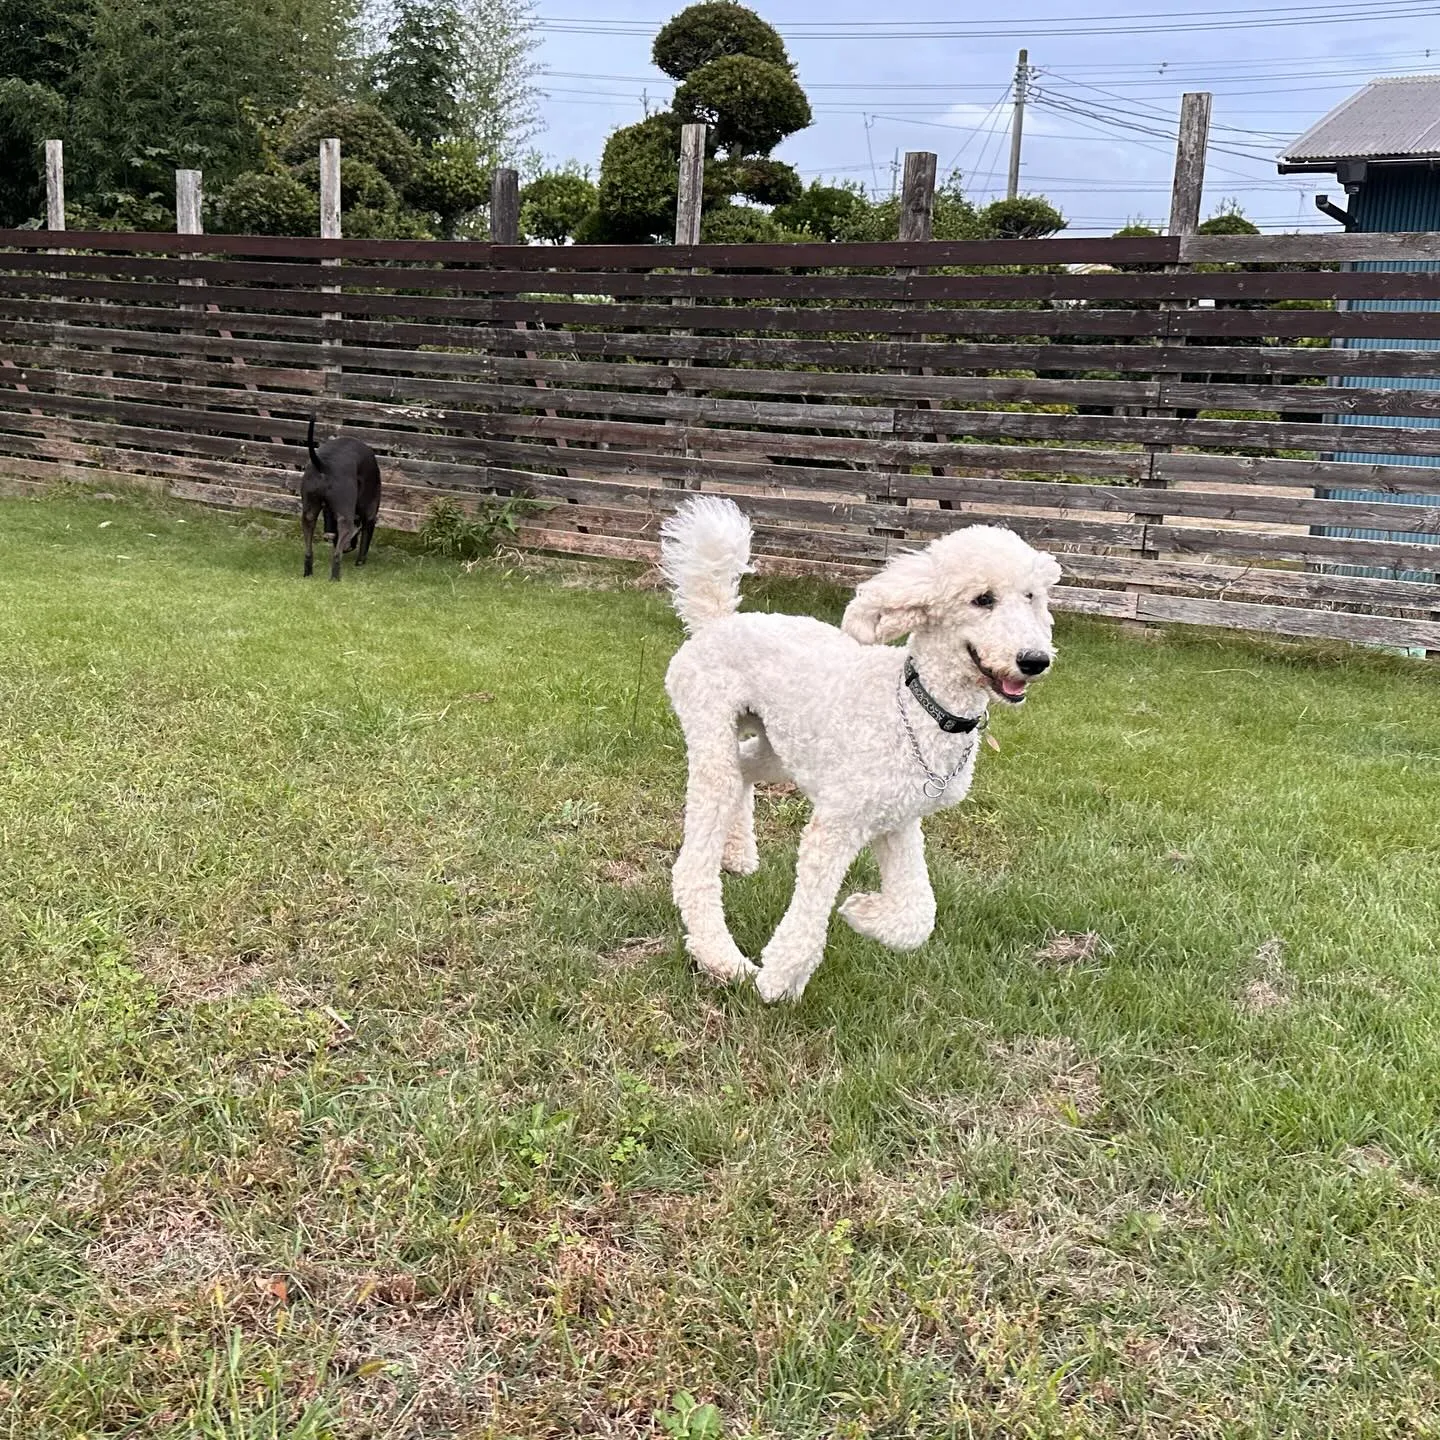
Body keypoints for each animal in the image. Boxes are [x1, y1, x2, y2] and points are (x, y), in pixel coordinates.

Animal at [299, 417, 383, 578]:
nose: (347, 548)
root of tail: (323, 464)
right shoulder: (370, 514)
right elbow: (365, 540)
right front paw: (360, 562)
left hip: (308, 513)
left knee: (308, 550)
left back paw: (308, 573)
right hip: (346, 517)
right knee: (337, 553)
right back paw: (335, 577)